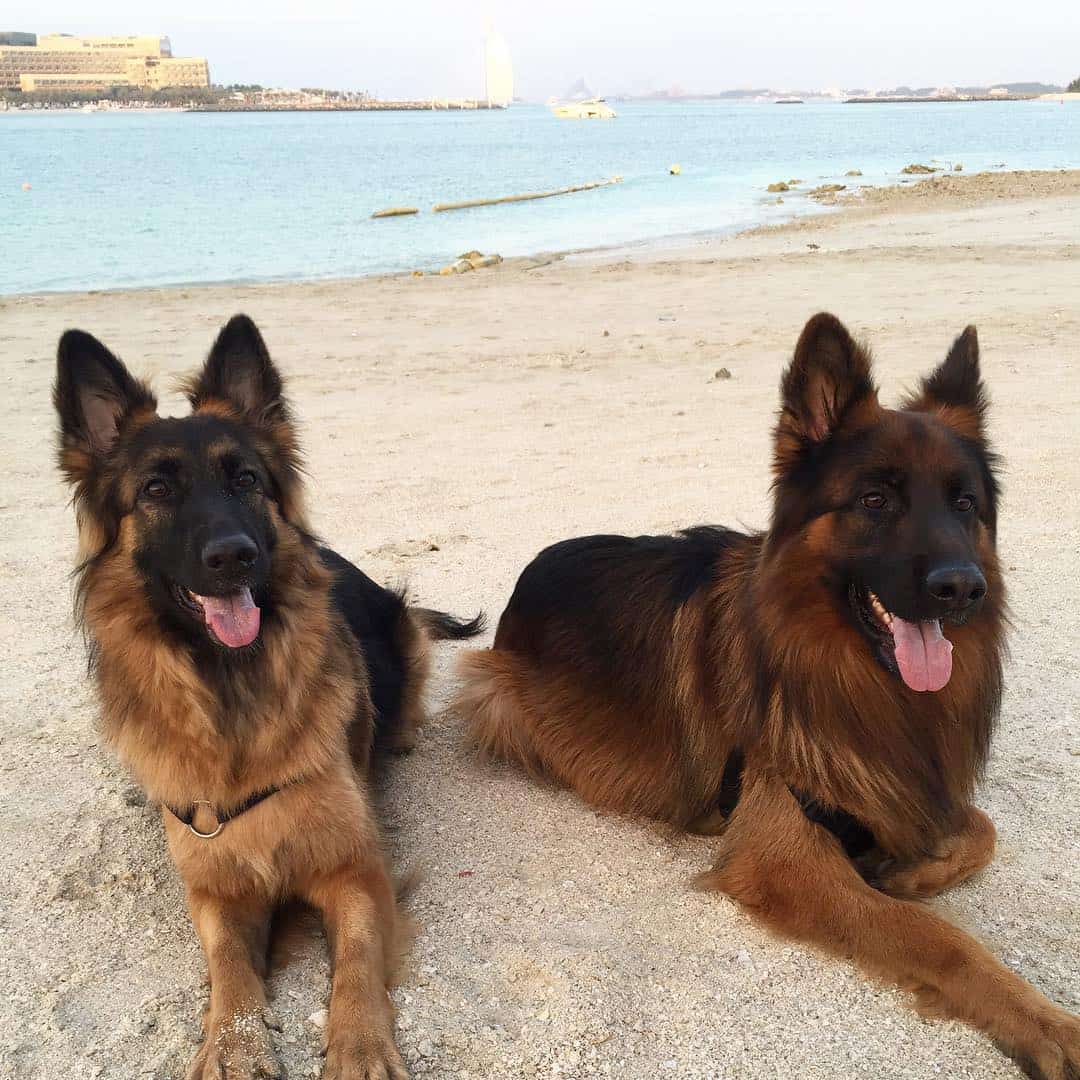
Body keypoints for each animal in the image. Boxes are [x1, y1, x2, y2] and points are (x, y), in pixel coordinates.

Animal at [54, 315, 481, 1080]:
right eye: (155, 490)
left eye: (246, 479)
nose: (234, 556)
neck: (233, 691)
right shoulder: (218, 891)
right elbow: (229, 969)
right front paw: (232, 1044)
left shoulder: (354, 871)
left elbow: (358, 961)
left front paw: (360, 1045)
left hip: (403, 630)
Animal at [460, 311, 1080, 1071]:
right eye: (875, 500)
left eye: (965, 503)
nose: (963, 589)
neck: (852, 678)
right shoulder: (785, 858)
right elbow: (938, 939)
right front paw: (1046, 1023)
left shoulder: (904, 787)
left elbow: (980, 829)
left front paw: (911, 869)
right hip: (491, 691)